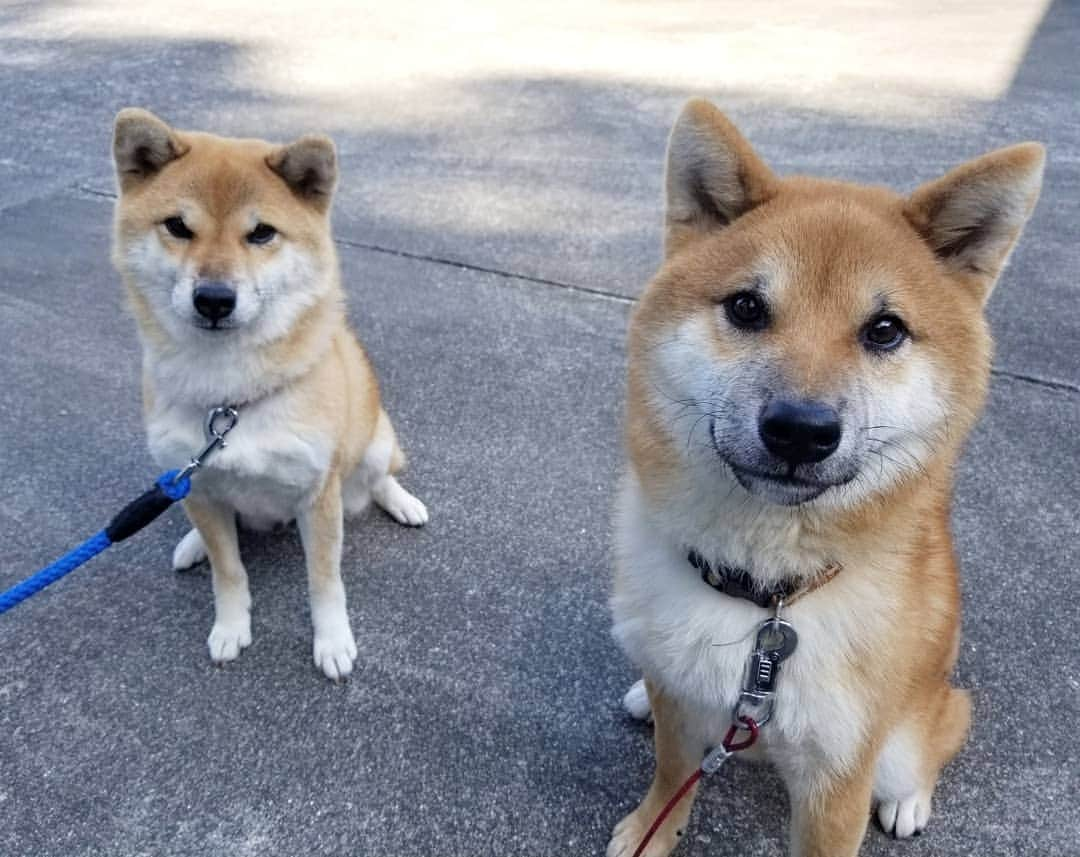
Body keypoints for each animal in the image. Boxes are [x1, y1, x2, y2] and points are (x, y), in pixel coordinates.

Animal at [111, 108, 427, 682]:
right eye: (178, 227)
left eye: (261, 233)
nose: (214, 299)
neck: (230, 399)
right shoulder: (201, 485)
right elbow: (229, 571)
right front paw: (230, 626)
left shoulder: (318, 493)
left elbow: (324, 582)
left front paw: (333, 641)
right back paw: (191, 544)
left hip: (374, 439)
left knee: (379, 475)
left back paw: (402, 501)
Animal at [609, 101, 1036, 854]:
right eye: (747, 307)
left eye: (885, 330)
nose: (801, 430)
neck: (766, 600)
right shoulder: (682, 702)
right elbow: (670, 772)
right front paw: (649, 829)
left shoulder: (838, 775)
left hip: (909, 733)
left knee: (940, 735)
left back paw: (910, 798)